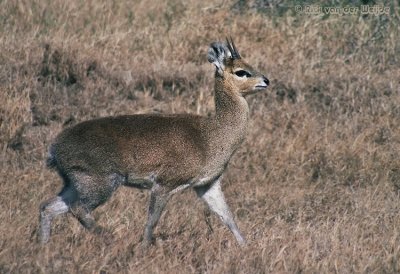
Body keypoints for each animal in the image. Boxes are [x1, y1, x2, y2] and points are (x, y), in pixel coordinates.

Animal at [39, 38, 268, 246]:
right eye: (241, 72)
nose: (266, 80)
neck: (213, 135)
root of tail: (54, 149)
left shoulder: (207, 185)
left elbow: (228, 217)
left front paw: (246, 248)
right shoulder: (164, 184)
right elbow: (152, 221)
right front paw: (143, 248)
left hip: (74, 183)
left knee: (47, 207)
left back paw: (43, 247)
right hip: (100, 182)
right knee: (77, 209)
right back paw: (112, 239)